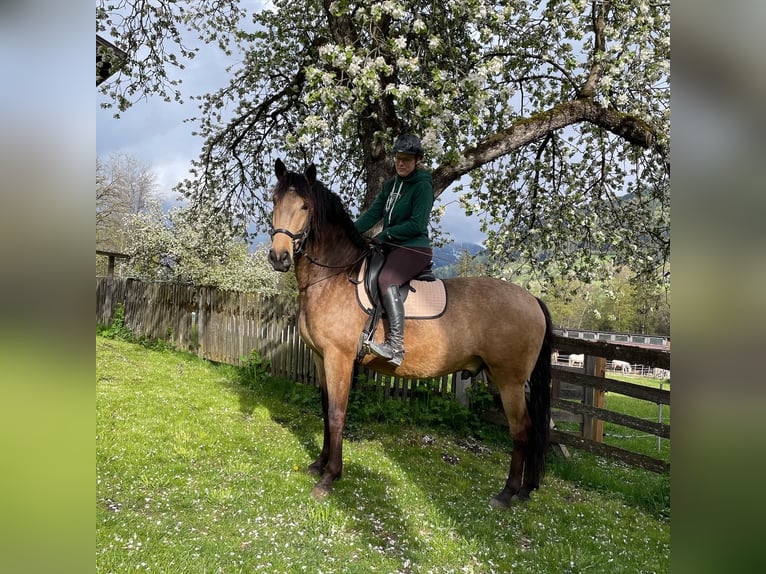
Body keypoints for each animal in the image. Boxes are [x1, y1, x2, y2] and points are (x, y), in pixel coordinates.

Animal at [268, 161, 556, 508]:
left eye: (305, 207)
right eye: (274, 201)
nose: (279, 257)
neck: (333, 276)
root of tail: (532, 300)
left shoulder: (339, 358)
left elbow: (337, 414)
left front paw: (329, 477)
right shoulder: (320, 357)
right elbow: (325, 410)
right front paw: (319, 464)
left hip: (509, 381)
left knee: (521, 430)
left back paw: (507, 492)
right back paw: (525, 489)